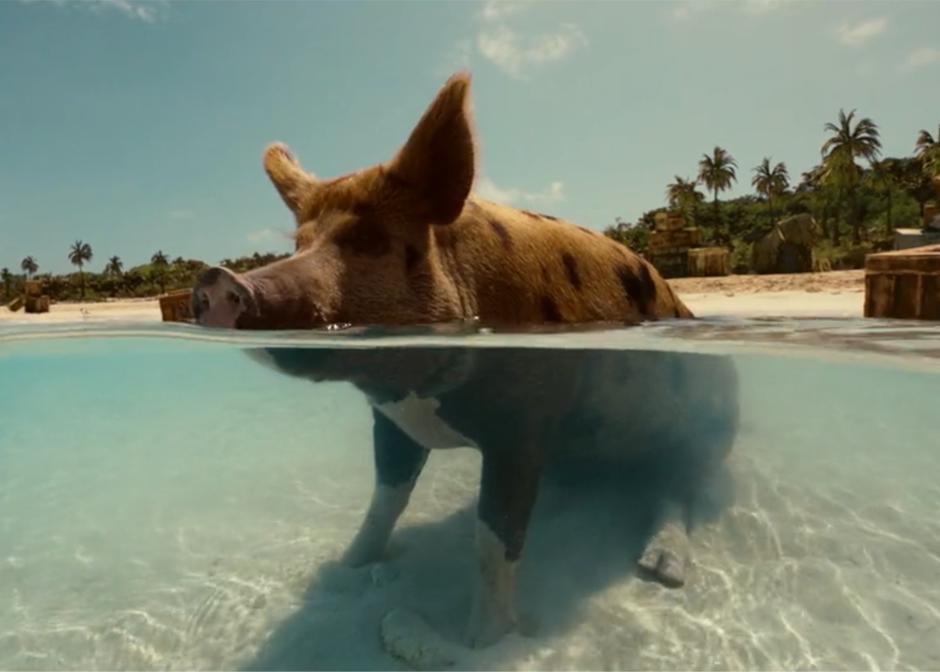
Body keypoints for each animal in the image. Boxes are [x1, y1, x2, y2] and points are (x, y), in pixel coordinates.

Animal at [191, 72, 731, 648]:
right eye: (299, 243)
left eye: (370, 240)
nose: (216, 279)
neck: (419, 396)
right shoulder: (393, 422)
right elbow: (384, 502)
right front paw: (347, 570)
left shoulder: (522, 428)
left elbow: (493, 541)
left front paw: (464, 640)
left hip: (705, 425)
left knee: (681, 486)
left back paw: (658, 572)